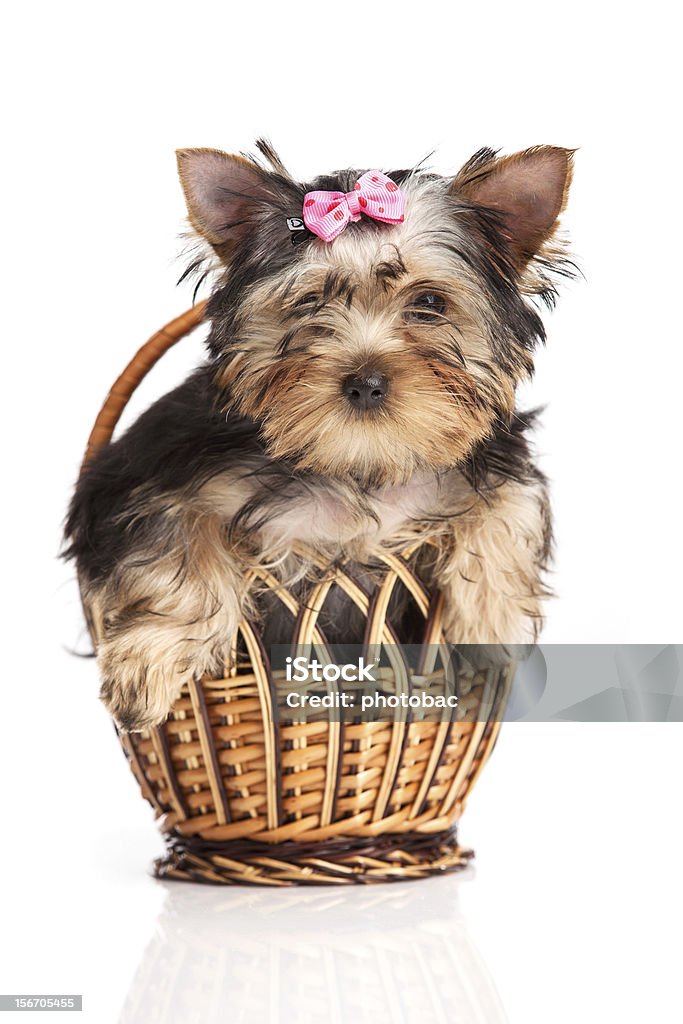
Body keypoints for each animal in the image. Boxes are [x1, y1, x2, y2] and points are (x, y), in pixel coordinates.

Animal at [66, 140, 573, 733]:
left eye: (429, 303)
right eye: (307, 303)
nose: (365, 382)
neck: (355, 464)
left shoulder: (492, 451)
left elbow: (511, 494)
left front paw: (494, 622)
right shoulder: (148, 470)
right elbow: (173, 535)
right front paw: (148, 666)